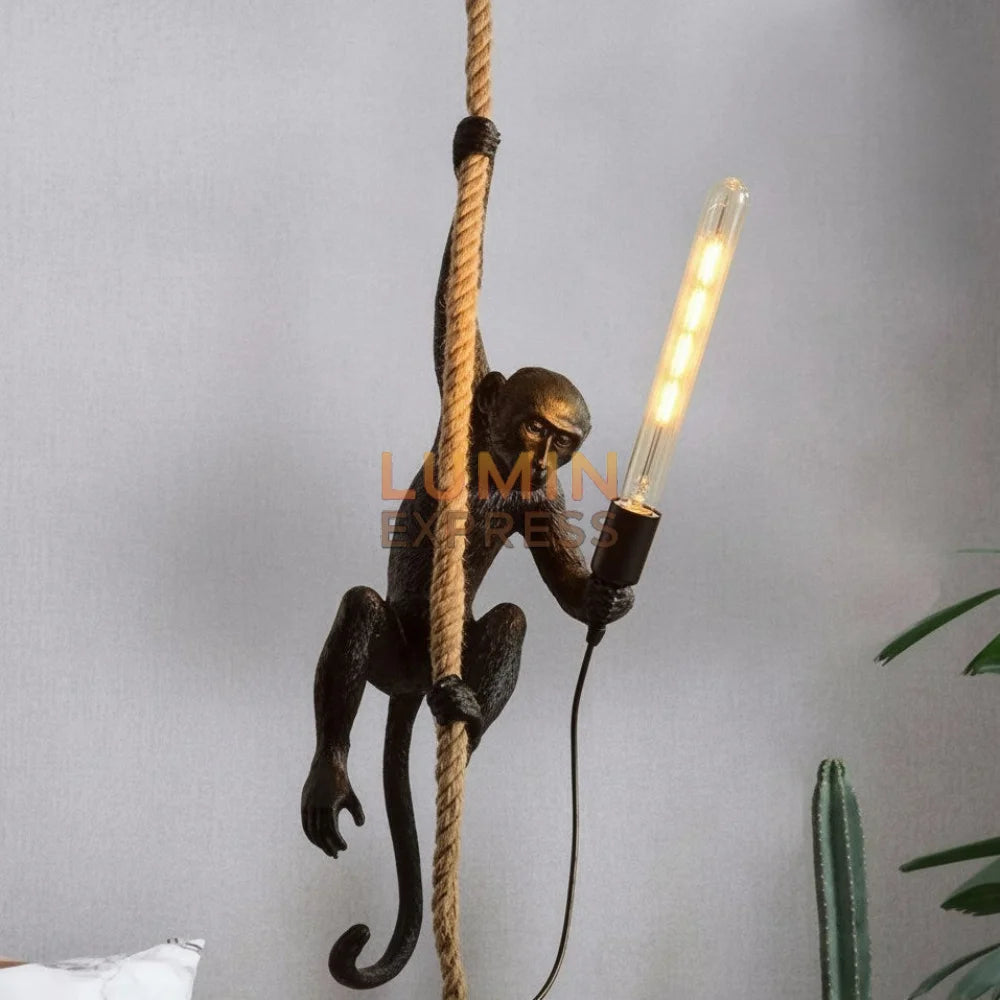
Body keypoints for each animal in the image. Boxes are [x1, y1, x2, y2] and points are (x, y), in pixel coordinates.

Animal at [300, 117, 634, 990]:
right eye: (537, 425)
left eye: (564, 442)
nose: (547, 451)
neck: (493, 469)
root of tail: (417, 683)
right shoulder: (465, 404)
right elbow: (452, 309)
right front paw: (471, 149)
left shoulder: (537, 497)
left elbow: (557, 588)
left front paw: (605, 599)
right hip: (393, 657)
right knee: (361, 609)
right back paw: (331, 771)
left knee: (510, 619)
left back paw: (468, 719)